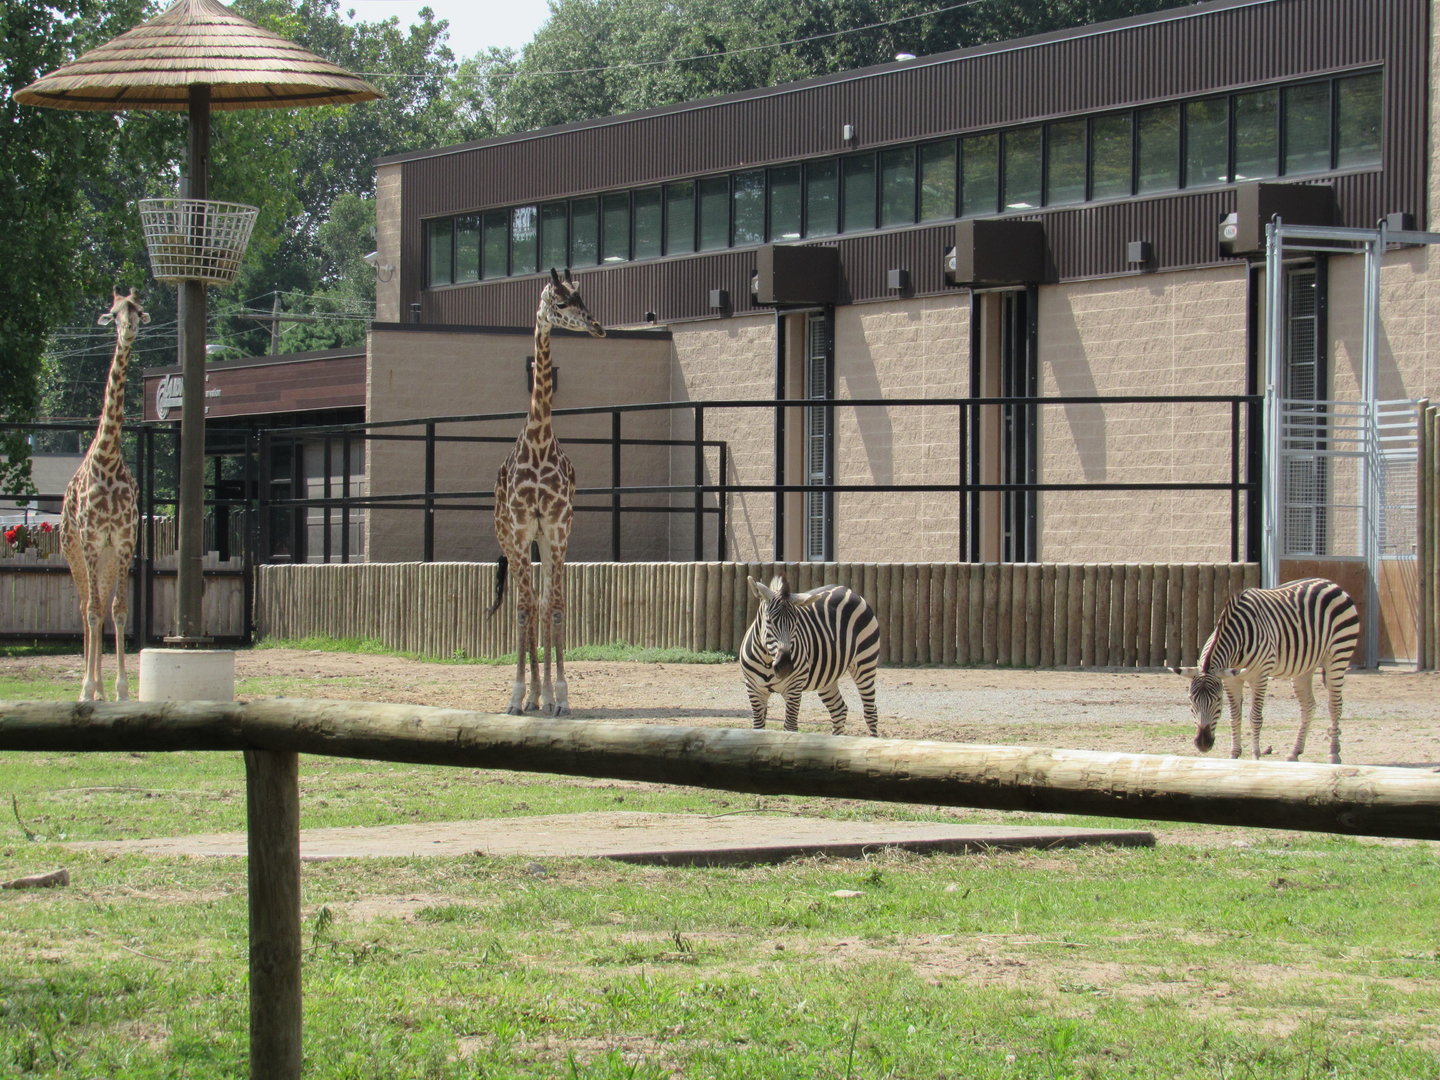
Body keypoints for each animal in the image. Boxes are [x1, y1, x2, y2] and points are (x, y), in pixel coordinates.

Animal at [488, 268, 605, 715]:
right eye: (559, 302)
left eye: (581, 298)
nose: (597, 326)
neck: (538, 440)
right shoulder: (522, 529)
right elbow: (523, 610)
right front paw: (516, 695)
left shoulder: (557, 528)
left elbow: (554, 608)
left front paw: (561, 696)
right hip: (509, 539)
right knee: (524, 605)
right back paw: (530, 696)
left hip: (542, 540)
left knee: (540, 602)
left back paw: (543, 696)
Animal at [739, 574, 882, 736]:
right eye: (769, 621)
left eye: (796, 623)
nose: (785, 667)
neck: (768, 661)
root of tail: (848, 590)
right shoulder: (753, 690)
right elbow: (758, 728)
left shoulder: (794, 689)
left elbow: (790, 728)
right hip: (827, 676)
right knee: (839, 710)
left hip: (865, 663)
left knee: (870, 711)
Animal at [1173, 577, 1360, 764]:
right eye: (1191, 699)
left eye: (1218, 700)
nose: (1203, 744)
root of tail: (1329, 582)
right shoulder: (1231, 679)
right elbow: (1235, 717)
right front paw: (1234, 755)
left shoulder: (1260, 675)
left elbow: (1255, 717)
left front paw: (1256, 756)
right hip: (1304, 666)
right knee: (1308, 706)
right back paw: (1294, 752)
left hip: (1338, 653)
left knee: (1335, 705)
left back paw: (1334, 754)